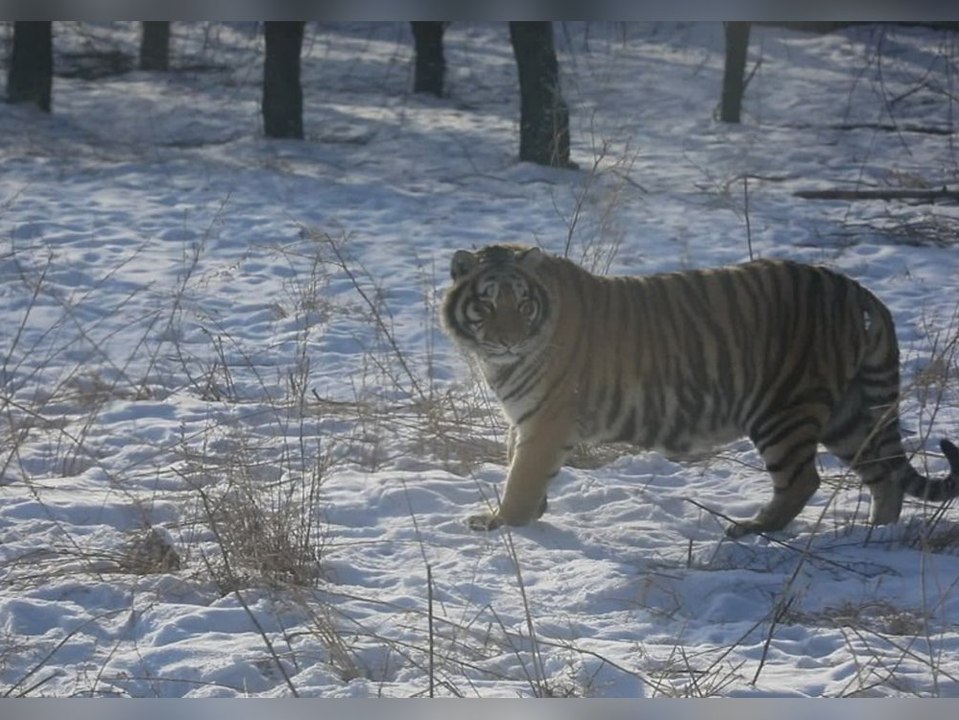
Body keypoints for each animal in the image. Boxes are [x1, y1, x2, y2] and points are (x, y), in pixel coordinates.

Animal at [441, 243, 959, 538]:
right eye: (486, 303)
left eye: (522, 303)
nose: (509, 340)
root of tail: (856, 290)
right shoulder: (526, 419)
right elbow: (519, 464)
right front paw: (530, 514)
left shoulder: (547, 419)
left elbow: (521, 475)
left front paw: (504, 523)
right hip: (848, 415)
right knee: (885, 476)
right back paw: (874, 536)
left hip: (783, 409)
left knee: (803, 481)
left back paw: (751, 529)